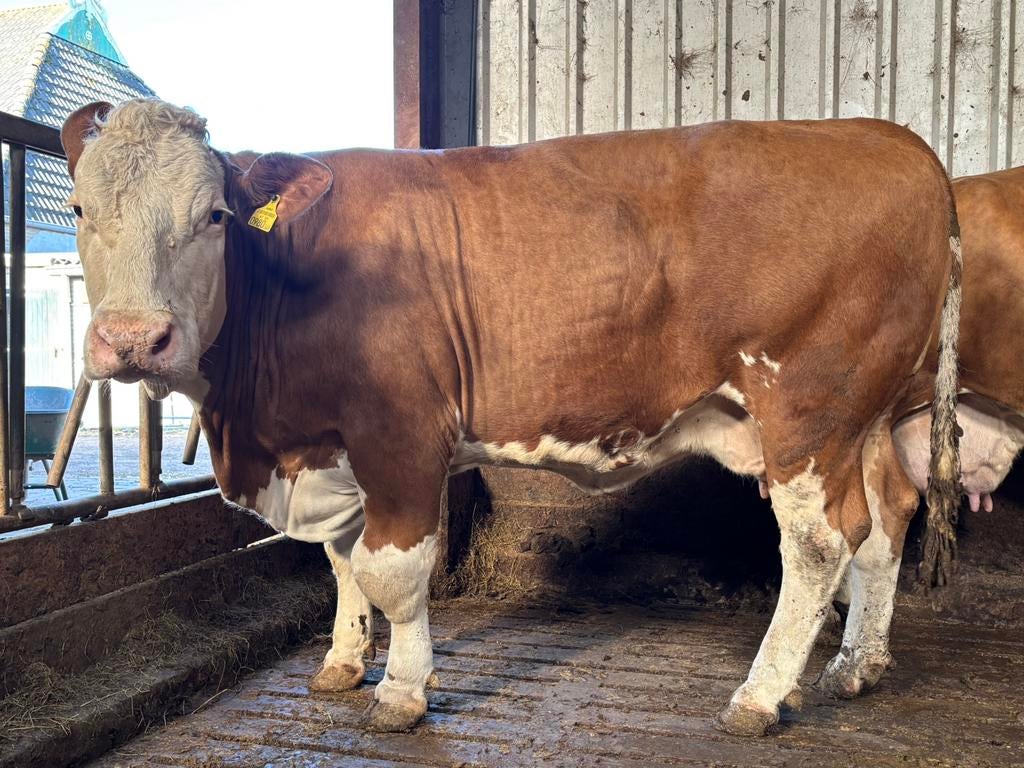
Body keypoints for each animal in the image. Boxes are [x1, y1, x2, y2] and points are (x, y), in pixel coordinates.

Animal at [60, 98, 961, 736]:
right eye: (76, 210)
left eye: (213, 216)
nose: (132, 338)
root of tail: (891, 139)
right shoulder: (328, 449)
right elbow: (340, 562)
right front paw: (344, 663)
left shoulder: (400, 435)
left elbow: (391, 570)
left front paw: (402, 692)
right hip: (869, 419)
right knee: (883, 524)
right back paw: (857, 666)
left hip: (811, 410)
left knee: (818, 545)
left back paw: (761, 696)